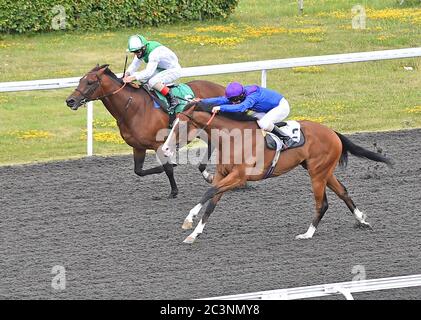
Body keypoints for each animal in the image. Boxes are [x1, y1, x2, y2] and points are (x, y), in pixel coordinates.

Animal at [64, 65, 225, 198]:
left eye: (90, 82)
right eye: (80, 80)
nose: (70, 101)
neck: (133, 108)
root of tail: (223, 88)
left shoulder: (158, 144)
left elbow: (167, 168)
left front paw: (173, 191)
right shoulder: (138, 146)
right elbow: (139, 171)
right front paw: (167, 168)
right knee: (212, 144)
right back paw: (207, 174)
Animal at [162, 104, 392, 244]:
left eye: (181, 126)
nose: (164, 149)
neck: (234, 138)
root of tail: (332, 132)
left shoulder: (238, 177)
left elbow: (209, 192)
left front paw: (189, 219)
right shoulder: (222, 175)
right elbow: (211, 202)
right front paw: (194, 233)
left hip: (317, 173)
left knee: (322, 203)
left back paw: (307, 234)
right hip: (323, 171)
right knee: (343, 192)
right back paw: (362, 220)